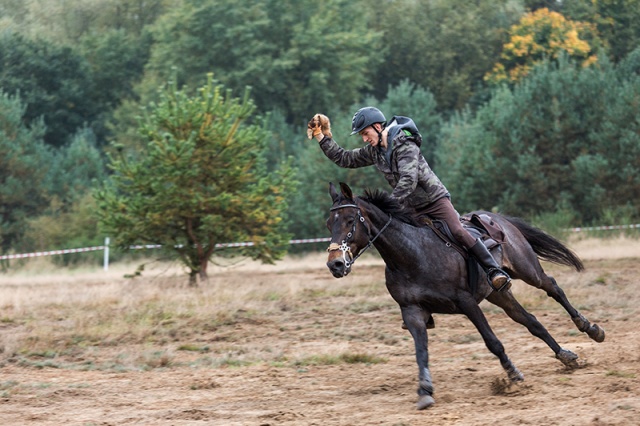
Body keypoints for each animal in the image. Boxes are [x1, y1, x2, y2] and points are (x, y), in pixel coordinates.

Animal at [324, 181, 604, 412]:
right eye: (329, 223)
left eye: (350, 220)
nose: (335, 264)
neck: (413, 254)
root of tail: (498, 218)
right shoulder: (412, 311)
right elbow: (421, 351)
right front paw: (425, 391)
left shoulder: (467, 303)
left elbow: (492, 342)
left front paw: (513, 374)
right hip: (498, 295)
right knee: (531, 321)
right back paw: (565, 355)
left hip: (528, 270)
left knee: (553, 288)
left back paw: (591, 328)